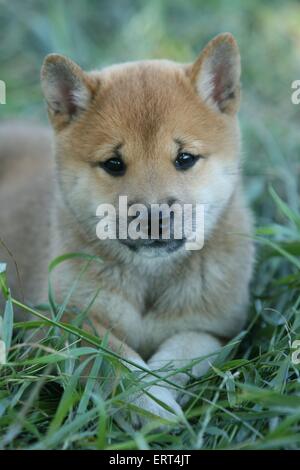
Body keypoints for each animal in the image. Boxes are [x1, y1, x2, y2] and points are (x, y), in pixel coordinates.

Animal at [0, 32, 253, 422]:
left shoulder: (219, 329)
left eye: (185, 158)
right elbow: (112, 358)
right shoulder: (55, 320)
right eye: (114, 164)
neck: (149, 280)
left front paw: (159, 390)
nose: (153, 217)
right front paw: (149, 401)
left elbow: (183, 351)